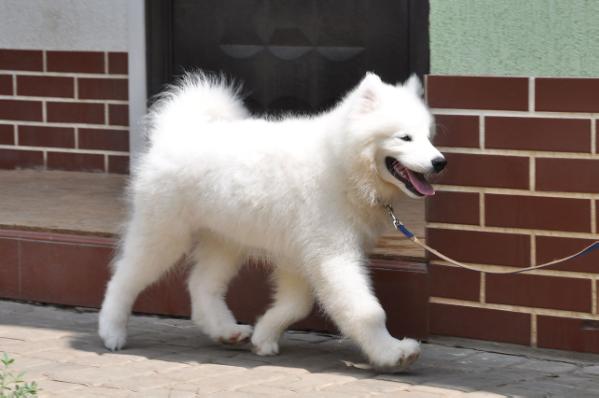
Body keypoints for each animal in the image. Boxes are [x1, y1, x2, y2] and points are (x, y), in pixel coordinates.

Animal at [98, 71, 446, 374]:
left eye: (428, 138)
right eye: (405, 137)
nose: (439, 162)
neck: (342, 163)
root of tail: (174, 132)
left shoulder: (302, 256)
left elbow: (296, 305)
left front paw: (264, 335)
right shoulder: (332, 255)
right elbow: (366, 310)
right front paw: (392, 353)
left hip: (225, 240)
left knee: (201, 286)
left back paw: (226, 330)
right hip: (163, 234)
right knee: (123, 277)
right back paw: (111, 331)